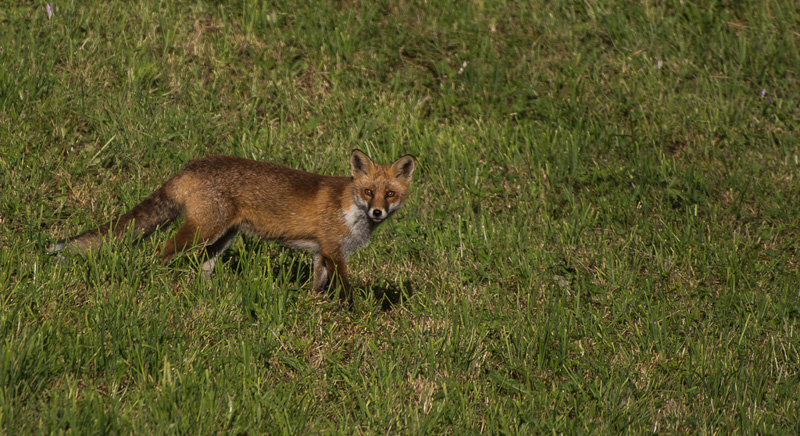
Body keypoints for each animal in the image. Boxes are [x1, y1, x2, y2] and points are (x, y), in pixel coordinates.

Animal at [50, 149, 417, 306]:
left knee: (203, 266)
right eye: (368, 192)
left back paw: (210, 294)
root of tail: (193, 164)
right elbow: (344, 285)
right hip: (202, 231)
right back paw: (158, 282)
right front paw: (347, 310)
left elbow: (318, 284)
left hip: (221, 238)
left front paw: (314, 306)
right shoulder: (333, 249)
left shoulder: (322, 252)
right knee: (161, 251)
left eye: (390, 194)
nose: (378, 212)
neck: (350, 208)